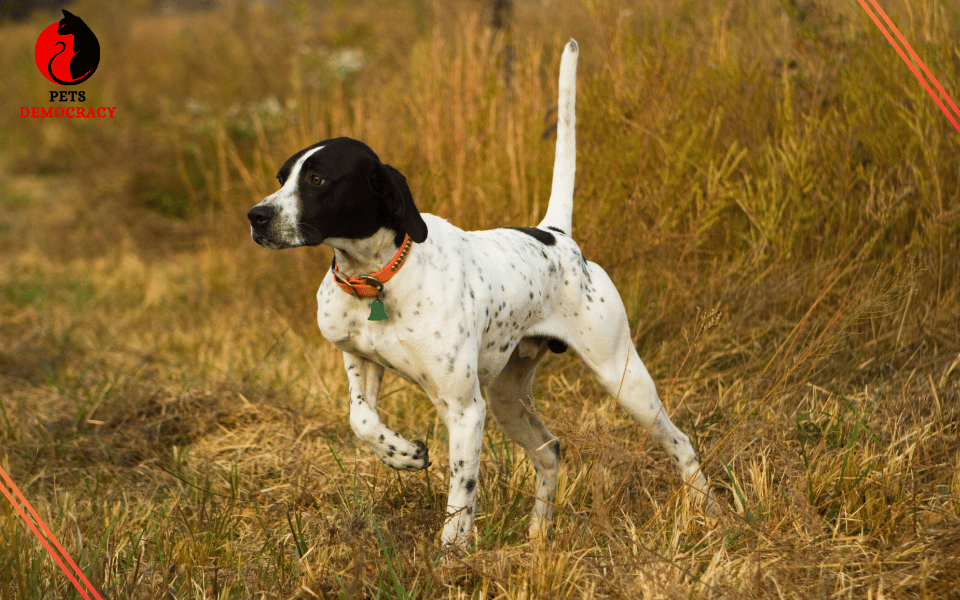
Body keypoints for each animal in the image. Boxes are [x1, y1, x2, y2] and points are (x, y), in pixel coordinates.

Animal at [248, 39, 712, 552]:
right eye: (281, 177)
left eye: (317, 180)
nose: (257, 216)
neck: (379, 278)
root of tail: (557, 235)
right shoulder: (362, 361)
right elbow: (362, 420)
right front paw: (404, 454)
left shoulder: (466, 410)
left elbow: (462, 491)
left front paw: (452, 553)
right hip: (509, 398)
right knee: (549, 451)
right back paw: (538, 535)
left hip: (623, 379)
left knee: (681, 443)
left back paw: (703, 514)